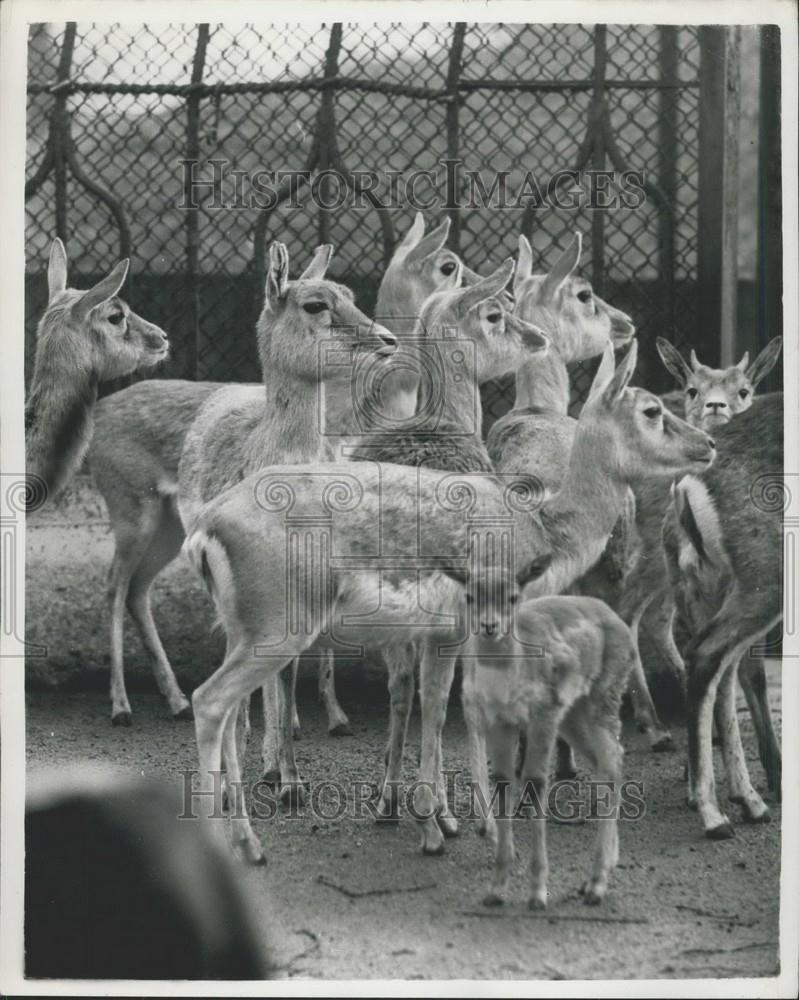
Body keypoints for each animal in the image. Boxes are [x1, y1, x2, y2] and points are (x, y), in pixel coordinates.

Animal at [87, 213, 456, 728]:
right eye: (315, 303)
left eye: (350, 294)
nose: (387, 339)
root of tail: (99, 413)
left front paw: (310, 722)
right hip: (131, 515)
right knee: (115, 587)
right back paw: (122, 706)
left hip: (168, 529)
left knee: (139, 590)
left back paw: (177, 701)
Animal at [180, 340, 712, 864]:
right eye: (652, 409)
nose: (707, 444)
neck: (542, 532)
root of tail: (204, 533)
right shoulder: (469, 624)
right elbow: (450, 708)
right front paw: (454, 827)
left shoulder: (445, 631)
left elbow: (436, 704)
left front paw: (442, 820)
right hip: (276, 627)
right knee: (209, 700)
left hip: (243, 629)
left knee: (231, 711)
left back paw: (247, 837)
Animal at [438, 540, 636, 908]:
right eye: (470, 595)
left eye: (513, 596)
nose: (490, 626)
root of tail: (623, 627)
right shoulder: (499, 722)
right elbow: (503, 782)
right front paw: (496, 889)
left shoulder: (543, 713)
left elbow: (534, 782)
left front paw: (537, 893)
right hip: (574, 715)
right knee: (609, 760)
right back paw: (597, 875)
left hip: (602, 697)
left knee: (613, 761)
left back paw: (597, 885)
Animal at [660, 390, 784, 836]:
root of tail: (688, 487)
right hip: (764, 578)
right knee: (707, 656)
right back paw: (714, 814)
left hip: (705, 588)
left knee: (722, 674)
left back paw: (747, 801)